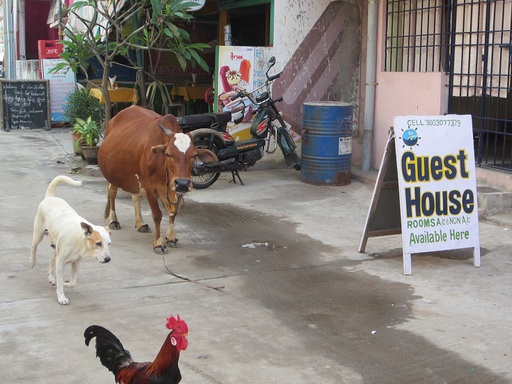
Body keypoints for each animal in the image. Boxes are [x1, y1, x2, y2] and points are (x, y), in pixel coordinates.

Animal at [29, 176, 111, 304]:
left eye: (109, 244)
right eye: (98, 243)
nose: (108, 259)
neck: (80, 239)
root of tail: (50, 196)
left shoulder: (76, 263)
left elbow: (73, 283)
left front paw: (64, 283)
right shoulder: (60, 262)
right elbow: (60, 281)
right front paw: (61, 297)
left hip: (56, 245)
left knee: (51, 260)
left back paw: (52, 277)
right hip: (38, 233)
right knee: (34, 246)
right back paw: (32, 261)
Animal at [97, 106, 216, 254]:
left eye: (194, 155)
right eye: (168, 154)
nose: (183, 183)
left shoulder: (175, 188)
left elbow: (173, 212)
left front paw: (171, 238)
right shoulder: (150, 188)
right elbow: (157, 215)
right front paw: (158, 243)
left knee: (135, 196)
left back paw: (140, 223)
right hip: (113, 175)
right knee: (112, 193)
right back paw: (113, 221)